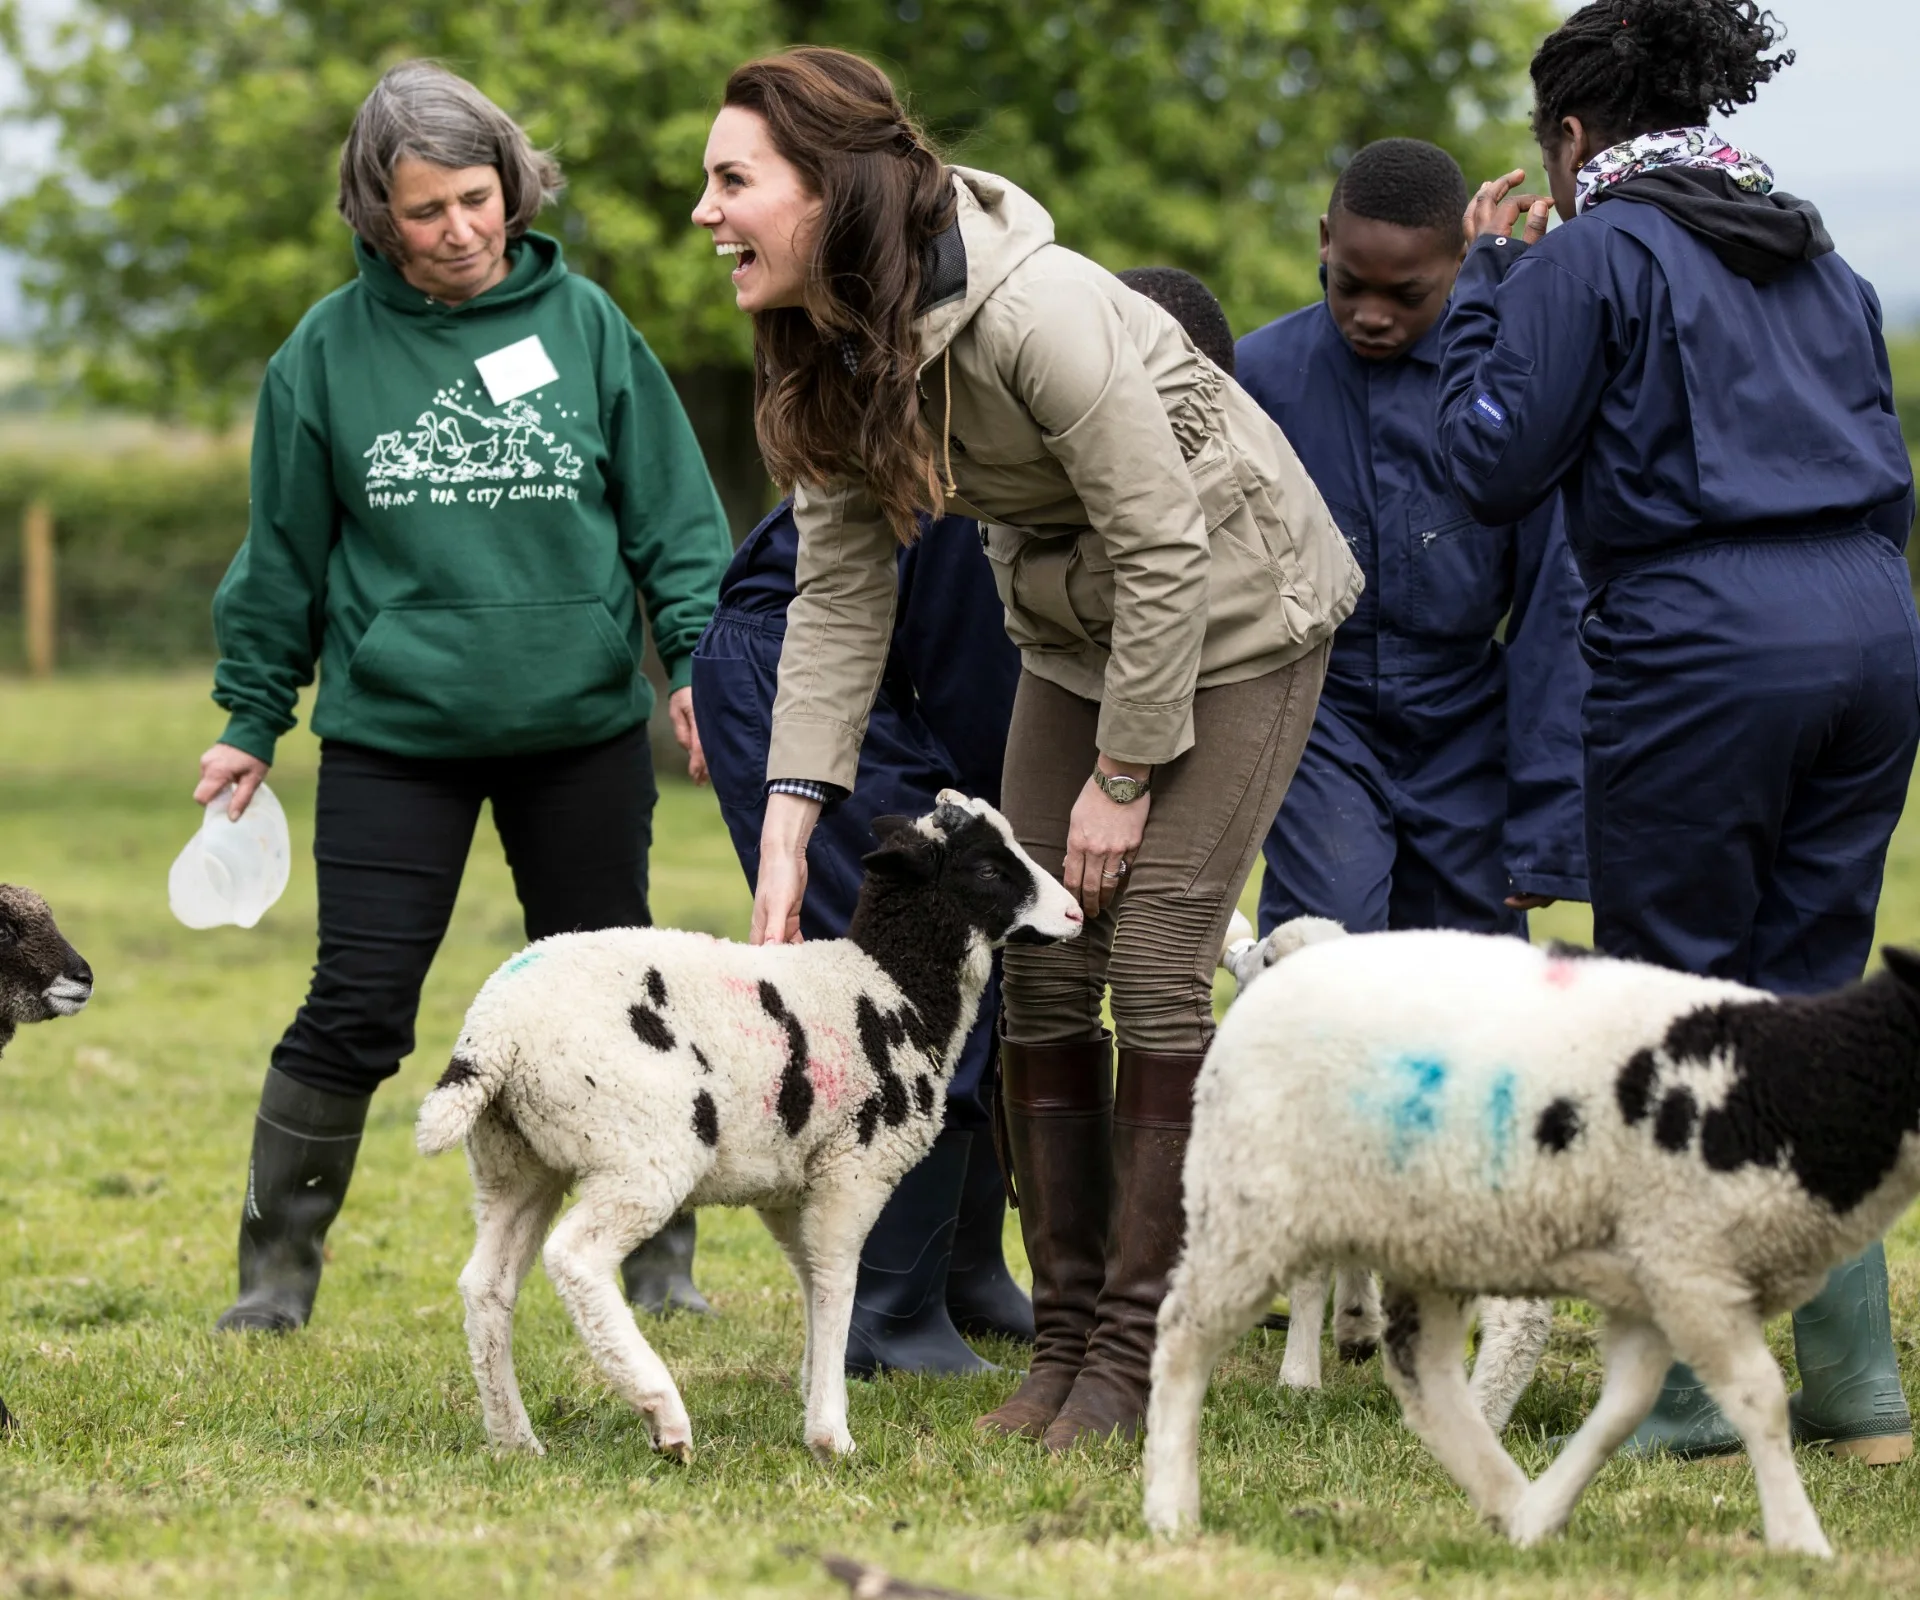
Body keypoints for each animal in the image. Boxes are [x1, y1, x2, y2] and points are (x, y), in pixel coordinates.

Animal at [414, 787, 1082, 1459]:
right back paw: (662, 1413)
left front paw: (813, 1393)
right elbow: (837, 1282)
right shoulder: (853, 1167)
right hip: (643, 1151)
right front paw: (832, 1434)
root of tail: (495, 1033)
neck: (896, 987)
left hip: (516, 1162)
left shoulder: (787, 1187)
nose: (1077, 913)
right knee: (576, 1259)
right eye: (990, 869)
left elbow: (811, 1278)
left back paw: (514, 1440)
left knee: (486, 1285)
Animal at [1221, 918, 1551, 1429]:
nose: (1241, 954)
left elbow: (1310, 1275)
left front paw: (1298, 1379)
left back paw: (1477, 1413)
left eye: (1270, 957)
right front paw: (1357, 1323)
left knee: (1521, 1318)